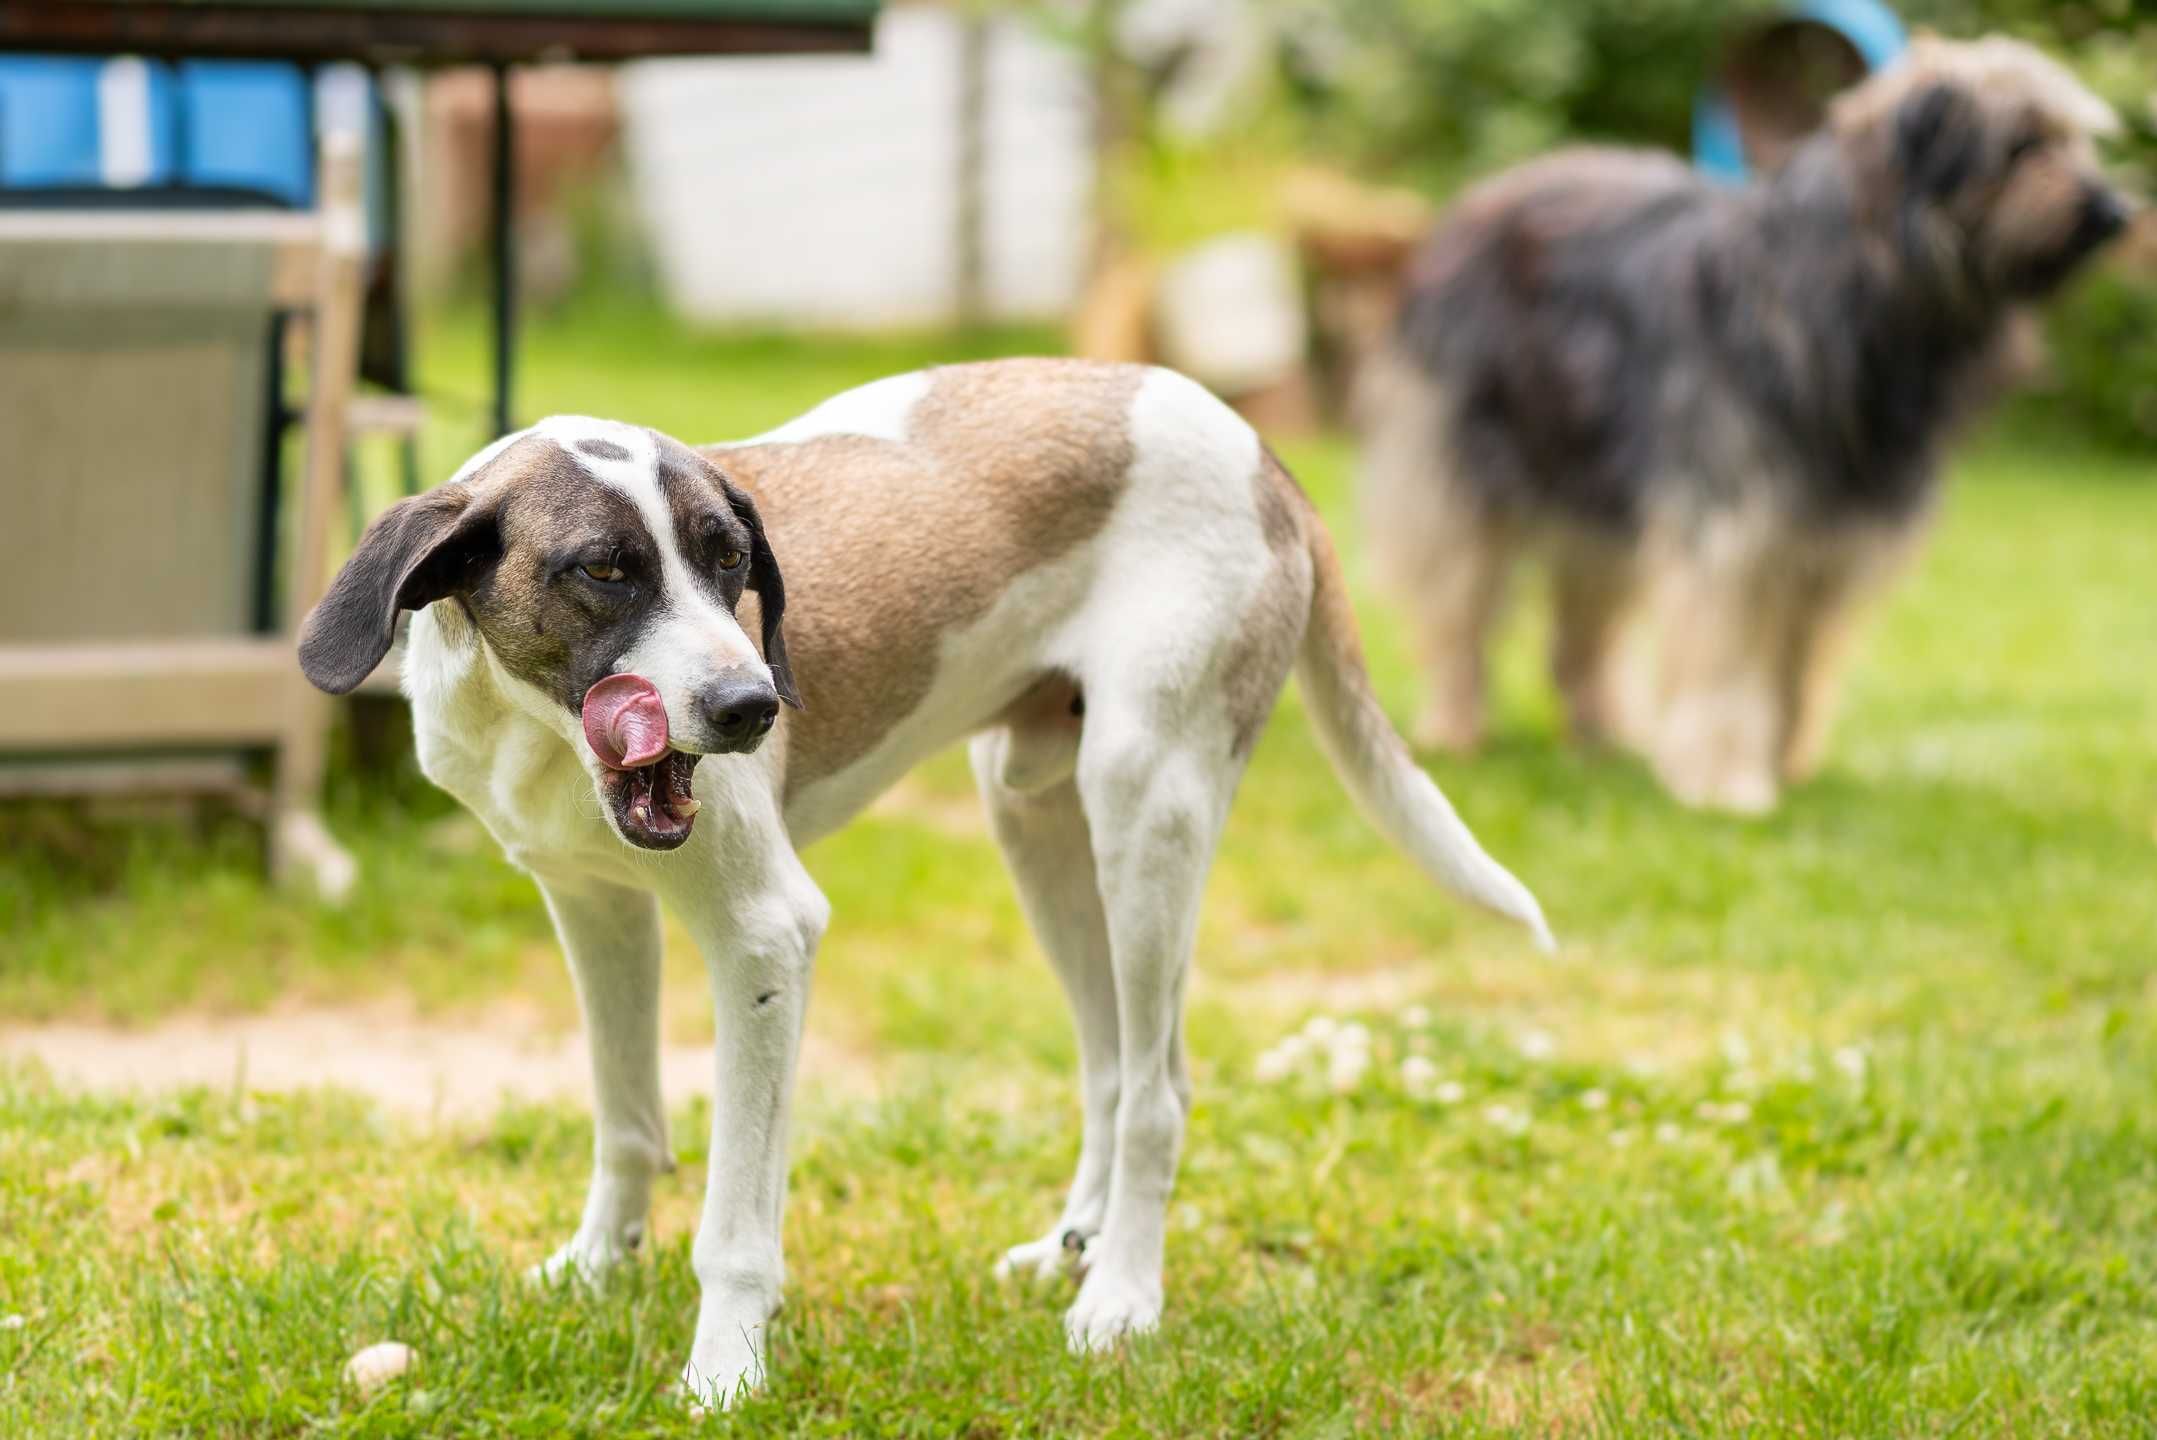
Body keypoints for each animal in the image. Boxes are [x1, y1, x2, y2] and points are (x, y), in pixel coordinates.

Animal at [304, 357, 1553, 1405]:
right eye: (603, 572)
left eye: (729, 560)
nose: (755, 709)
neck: (542, 731)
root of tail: (1258, 447)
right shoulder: (596, 907)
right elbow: (626, 1117)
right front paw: (595, 1269)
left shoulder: (765, 939)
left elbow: (735, 1224)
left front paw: (724, 1377)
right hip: (1034, 820)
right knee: (1110, 1066)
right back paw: (1072, 1250)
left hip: (1146, 804)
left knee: (1160, 1088)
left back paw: (1121, 1298)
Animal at [1363, 36, 2122, 810]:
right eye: (2022, 145)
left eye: (2078, 142)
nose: (2113, 211)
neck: (1852, 301)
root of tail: (1478, 200)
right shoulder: (1730, 530)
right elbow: (1729, 662)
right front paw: (1727, 781)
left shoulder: (1823, 545)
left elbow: (1796, 664)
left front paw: (1786, 760)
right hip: (1467, 473)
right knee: (1457, 607)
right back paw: (1455, 727)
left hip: (1592, 487)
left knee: (1580, 637)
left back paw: (1606, 734)